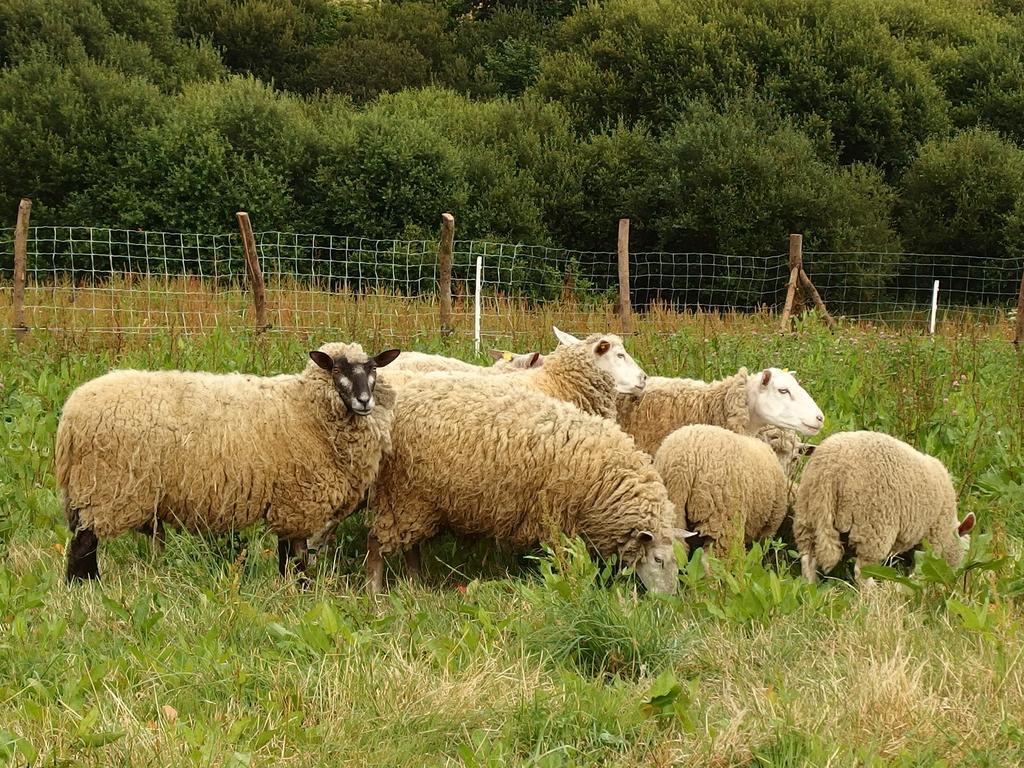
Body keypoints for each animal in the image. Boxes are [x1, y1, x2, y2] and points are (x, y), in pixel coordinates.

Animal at [55, 342, 399, 581]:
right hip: (106, 488)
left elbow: (286, 555)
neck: (305, 407)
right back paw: (85, 588)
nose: (364, 400)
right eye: (337, 371)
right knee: (82, 546)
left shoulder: (286, 502)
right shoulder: (299, 500)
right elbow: (298, 558)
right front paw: (301, 590)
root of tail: (71, 415)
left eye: (373, 369)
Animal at [364, 376, 692, 598]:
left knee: (409, 545)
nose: (669, 600)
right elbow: (563, 564)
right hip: (405, 493)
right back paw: (375, 590)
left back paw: (415, 583)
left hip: (415, 499)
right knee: (378, 543)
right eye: (659, 560)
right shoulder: (558, 522)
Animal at [790, 434, 974, 581]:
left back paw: (810, 586)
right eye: (965, 553)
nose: (957, 582)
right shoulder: (934, 540)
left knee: (808, 559)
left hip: (808, 513)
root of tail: (830, 470)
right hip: (873, 525)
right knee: (862, 572)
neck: (949, 528)